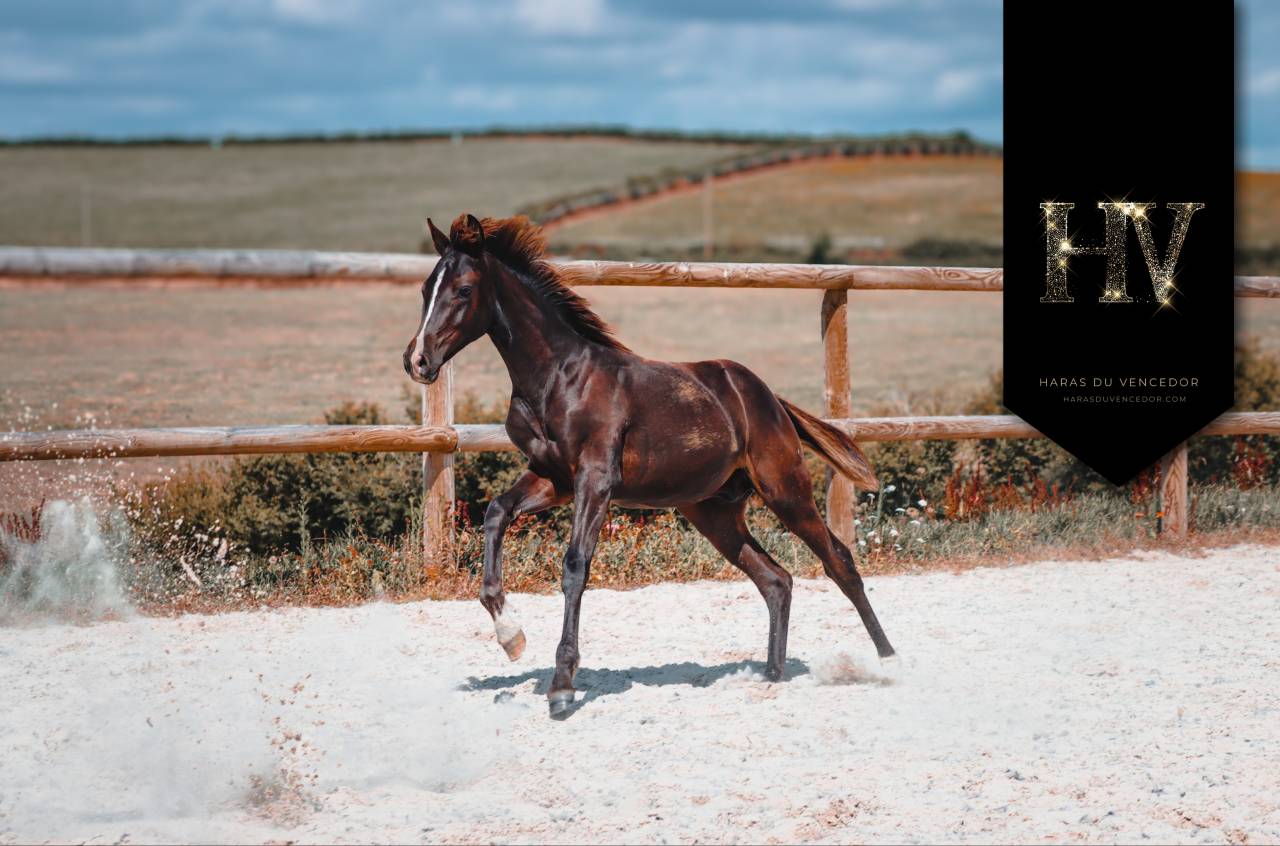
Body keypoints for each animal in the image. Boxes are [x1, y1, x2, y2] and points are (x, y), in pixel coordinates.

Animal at [404, 213, 895, 719]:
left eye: (463, 290)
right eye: (425, 288)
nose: (417, 360)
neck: (559, 379)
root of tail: (769, 397)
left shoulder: (596, 479)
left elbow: (575, 565)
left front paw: (562, 686)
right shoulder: (553, 478)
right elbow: (496, 512)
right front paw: (511, 638)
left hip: (784, 487)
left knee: (839, 560)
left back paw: (889, 661)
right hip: (713, 512)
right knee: (776, 579)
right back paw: (770, 675)